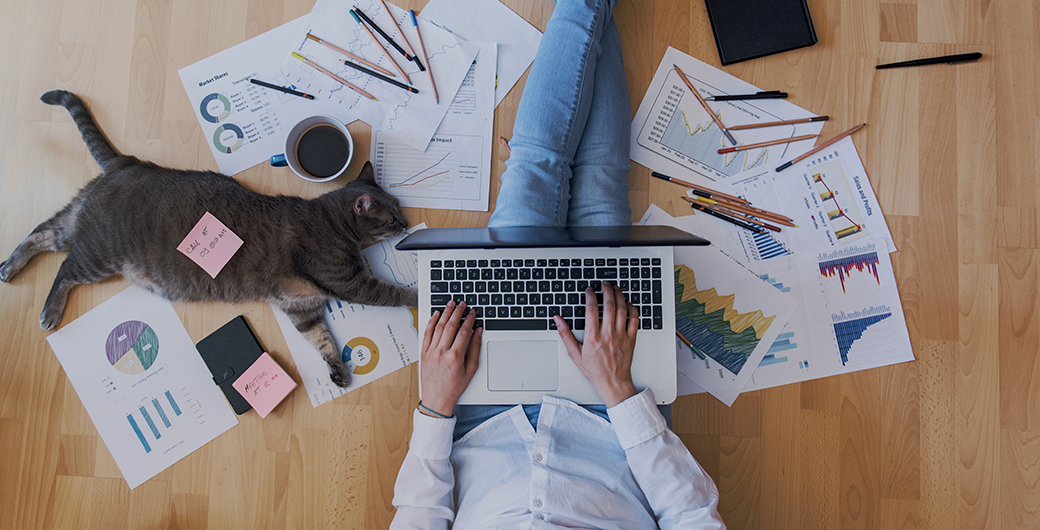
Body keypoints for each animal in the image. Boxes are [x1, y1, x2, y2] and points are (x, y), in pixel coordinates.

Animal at [1, 89, 413, 388]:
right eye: (392, 217)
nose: (407, 222)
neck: (331, 221)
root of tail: (125, 162)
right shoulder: (349, 283)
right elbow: (392, 293)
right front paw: (419, 297)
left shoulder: (302, 307)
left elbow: (321, 340)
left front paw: (338, 371)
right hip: (99, 254)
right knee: (65, 268)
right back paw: (48, 312)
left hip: (75, 223)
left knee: (41, 233)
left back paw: (8, 267)